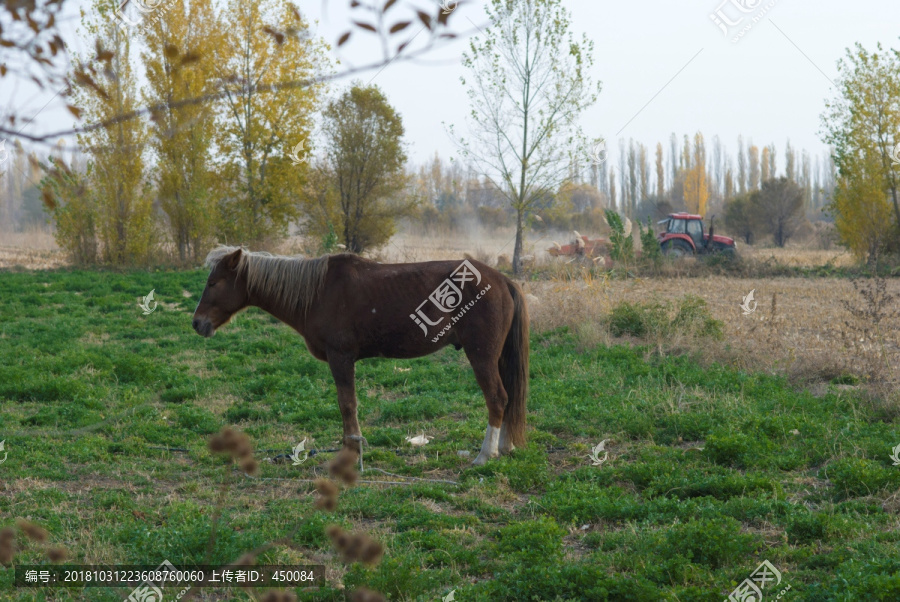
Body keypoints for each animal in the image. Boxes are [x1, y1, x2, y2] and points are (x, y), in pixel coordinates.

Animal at [190, 246, 528, 462]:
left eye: (213, 282)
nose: (197, 323)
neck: (318, 292)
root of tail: (502, 280)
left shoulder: (341, 358)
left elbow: (347, 404)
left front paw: (352, 449)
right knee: (508, 397)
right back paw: (506, 447)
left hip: (481, 355)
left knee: (497, 398)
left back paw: (485, 454)